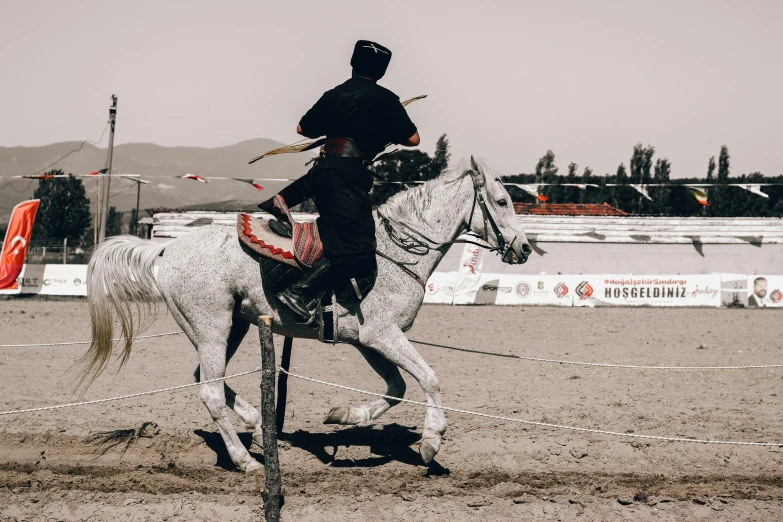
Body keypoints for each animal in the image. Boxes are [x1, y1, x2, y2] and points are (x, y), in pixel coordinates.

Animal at [81, 156, 532, 470]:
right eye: (501, 200)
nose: (525, 247)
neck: (397, 252)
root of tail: (167, 248)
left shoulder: (367, 341)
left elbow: (397, 387)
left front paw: (345, 415)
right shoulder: (383, 335)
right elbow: (429, 379)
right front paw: (430, 442)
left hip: (231, 328)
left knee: (209, 381)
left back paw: (257, 426)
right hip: (212, 327)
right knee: (209, 390)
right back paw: (245, 460)